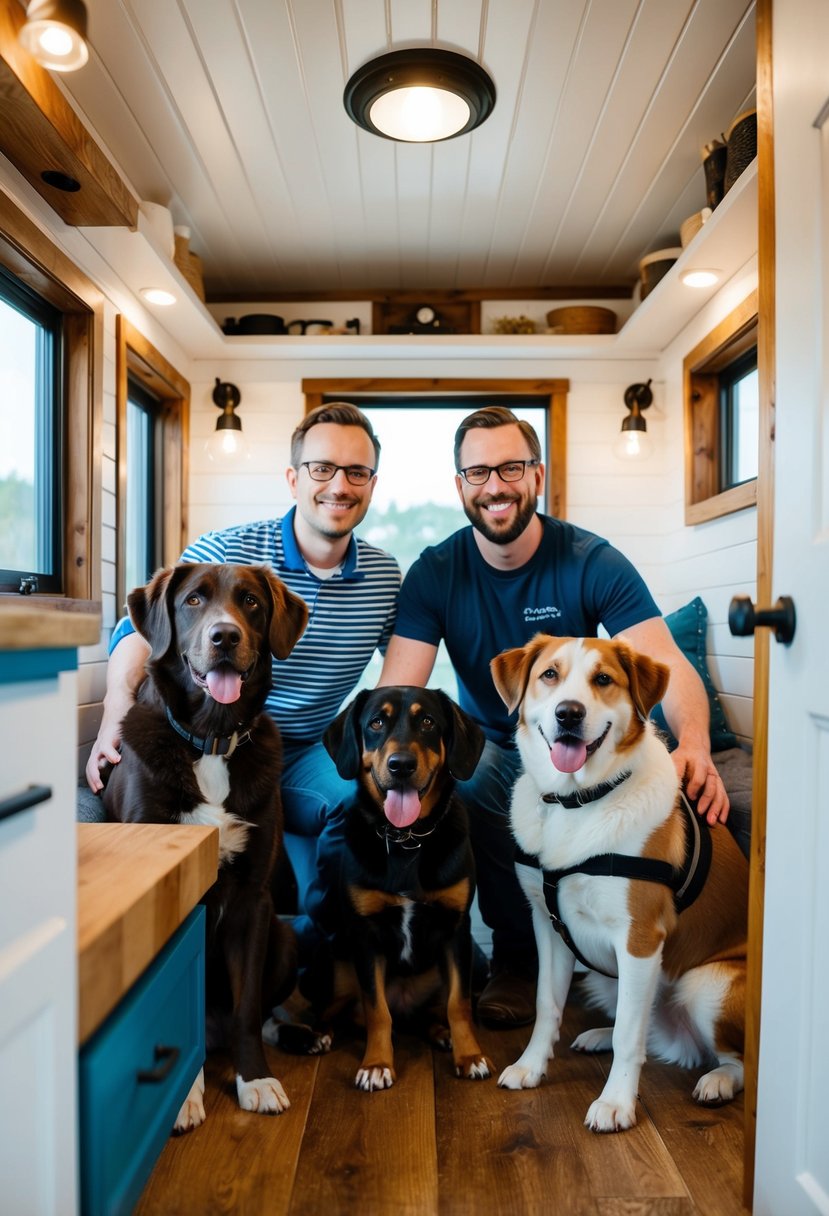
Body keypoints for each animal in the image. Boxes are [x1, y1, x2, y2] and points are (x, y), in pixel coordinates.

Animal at [105, 561, 318, 1128]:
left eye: (251, 602)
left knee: (258, 1011)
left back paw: (298, 1033)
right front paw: (184, 1095)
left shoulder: (253, 901)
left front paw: (255, 1078)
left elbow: (247, 1007)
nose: (225, 637)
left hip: (285, 940)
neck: (211, 741)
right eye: (194, 601)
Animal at [320, 685, 491, 1094]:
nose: (401, 765)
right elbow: (376, 1009)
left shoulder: (456, 931)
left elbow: (459, 1004)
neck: (407, 838)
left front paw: (469, 1055)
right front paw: (377, 1063)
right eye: (375, 723)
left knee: (433, 1012)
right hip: (339, 962)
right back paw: (316, 1034)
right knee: (338, 1009)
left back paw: (441, 1033)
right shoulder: (365, 937)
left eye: (427, 721)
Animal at [488, 632, 743, 1133]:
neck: (576, 801)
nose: (569, 713)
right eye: (550, 674)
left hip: (707, 985)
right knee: (644, 1021)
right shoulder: (550, 929)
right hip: (607, 977)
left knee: (733, 1057)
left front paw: (616, 1102)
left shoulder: (639, 938)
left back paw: (719, 1080)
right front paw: (530, 1066)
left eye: (603, 679)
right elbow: (548, 1005)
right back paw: (600, 1035)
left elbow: (630, 1034)